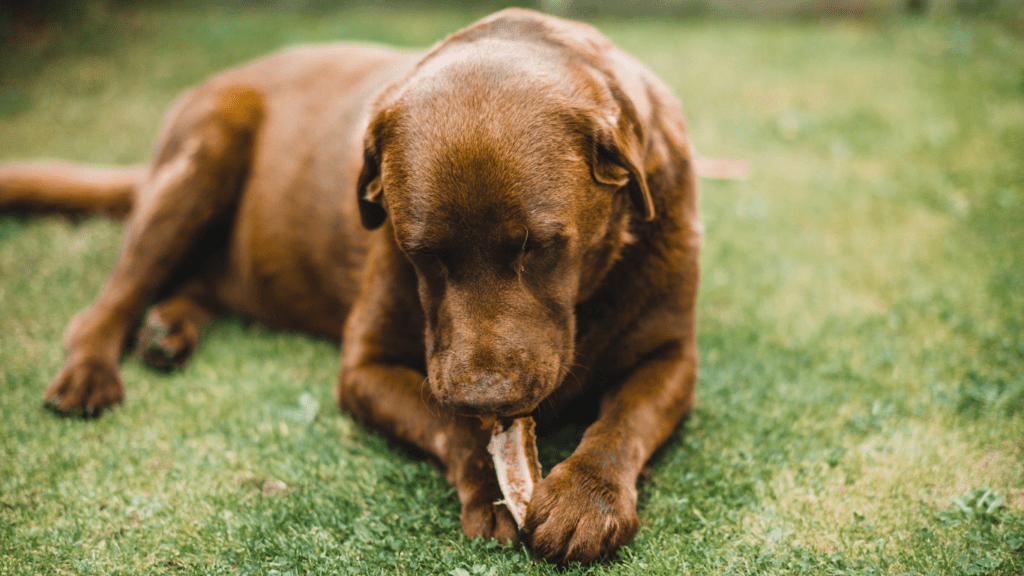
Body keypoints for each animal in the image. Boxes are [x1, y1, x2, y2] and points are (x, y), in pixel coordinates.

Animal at [0, 8, 700, 561]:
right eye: (422, 253)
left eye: (542, 247)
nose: (484, 397)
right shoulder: (364, 366)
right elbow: (446, 425)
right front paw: (491, 488)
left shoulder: (673, 357)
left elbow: (625, 420)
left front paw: (586, 497)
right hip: (204, 155)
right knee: (107, 303)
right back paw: (92, 372)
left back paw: (167, 330)